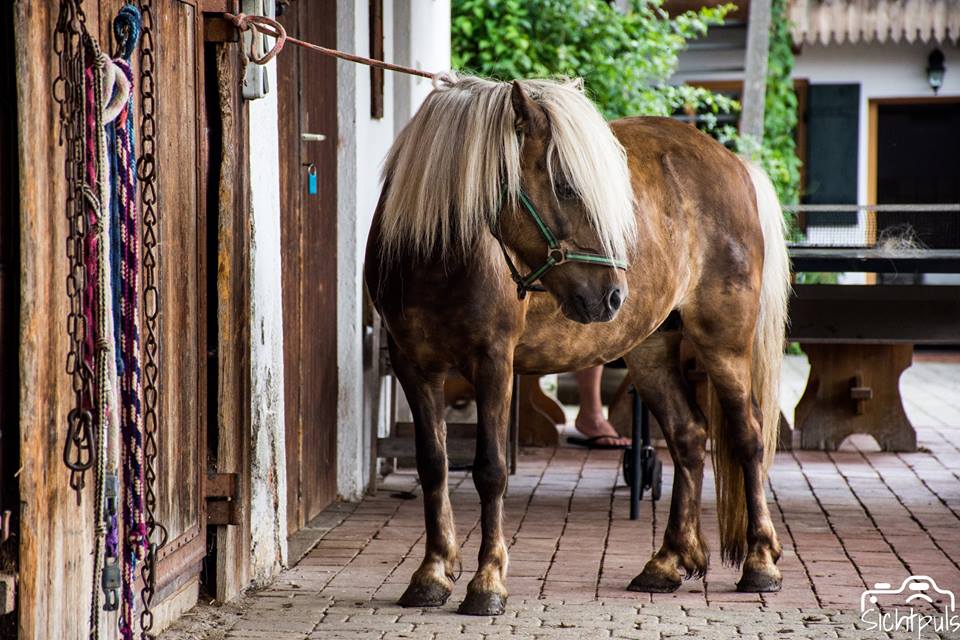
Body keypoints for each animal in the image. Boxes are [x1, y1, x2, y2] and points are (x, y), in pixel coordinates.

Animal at [364, 71, 792, 616]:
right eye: (566, 186)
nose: (611, 295)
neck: (438, 260)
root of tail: (736, 164)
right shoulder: (413, 366)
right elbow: (433, 465)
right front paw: (433, 572)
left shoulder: (493, 363)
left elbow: (491, 470)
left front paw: (487, 582)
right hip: (650, 350)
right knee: (689, 437)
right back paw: (668, 561)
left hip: (725, 345)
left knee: (747, 437)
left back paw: (760, 562)